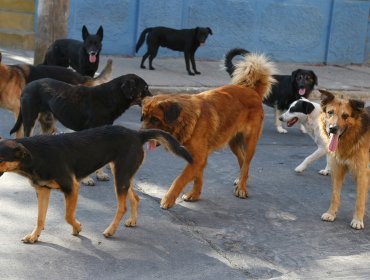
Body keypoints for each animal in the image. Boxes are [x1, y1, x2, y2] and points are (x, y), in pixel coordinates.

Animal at [0, 125, 194, 243]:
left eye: (0, 158)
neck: (36, 155)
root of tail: (137, 134)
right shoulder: (43, 190)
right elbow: (40, 218)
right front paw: (34, 236)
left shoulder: (72, 187)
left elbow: (68, 216)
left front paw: (77, 228)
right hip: (123, 175)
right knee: (136, 198)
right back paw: (132, 221)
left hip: (120, 176)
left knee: (122, 206)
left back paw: (110, 230)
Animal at [140, 53, 276, 209]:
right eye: (143, 117)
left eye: (155, 119)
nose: (141, 133)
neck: (187, 118)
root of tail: (252, 90)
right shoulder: (197, 158)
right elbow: (197, 177)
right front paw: (195, 194)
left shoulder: (198, 157)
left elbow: (180, 179)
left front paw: (168, 199)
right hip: (233, 143)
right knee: (242, 161)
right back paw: (241, 179)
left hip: (250, 143)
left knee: (246, 162)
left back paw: (242, 187)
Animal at [320, 89, 368, 230]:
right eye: (330, 112)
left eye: (345, 116)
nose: (333, 129)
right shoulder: (338, 169)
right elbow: (335, 195)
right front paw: (331, 213)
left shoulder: (362, 173)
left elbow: (359, 200)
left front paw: (358, 220)